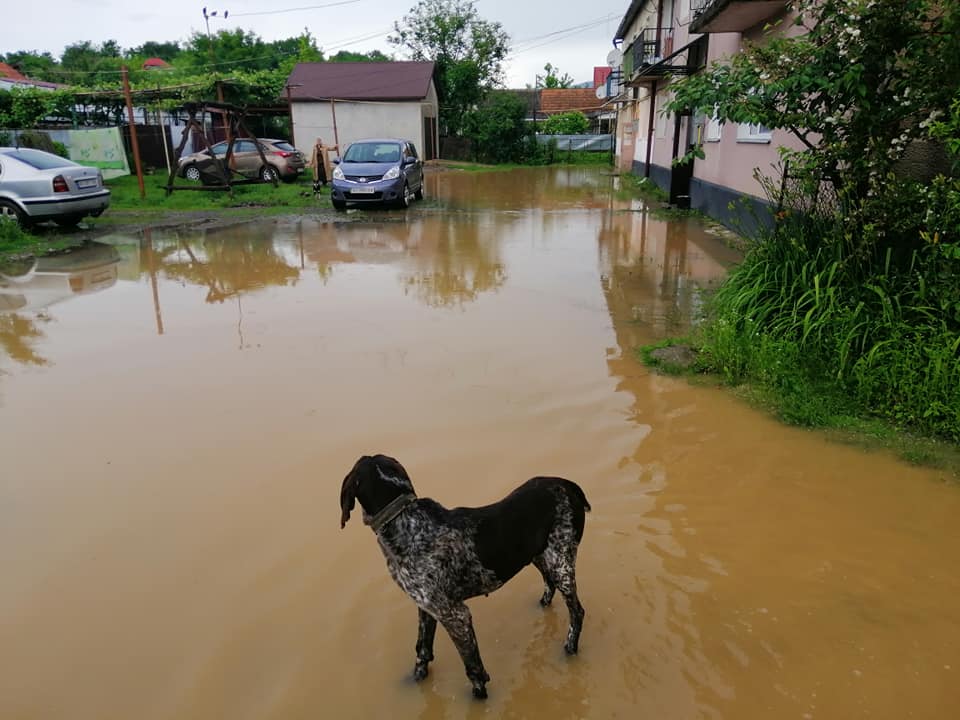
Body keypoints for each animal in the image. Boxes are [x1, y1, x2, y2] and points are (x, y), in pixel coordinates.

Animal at [338, 456, 592, 696]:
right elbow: (422, 650)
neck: (404, 520)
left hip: (561, 562)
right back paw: (542, 605)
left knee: (577, 612)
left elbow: (474, 669)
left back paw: (570, 649)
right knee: (549, 583)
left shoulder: (456, 616)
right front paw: (416, 680)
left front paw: (479, 697)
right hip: (540, 555)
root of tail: (567, 484)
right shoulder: (427, 607)